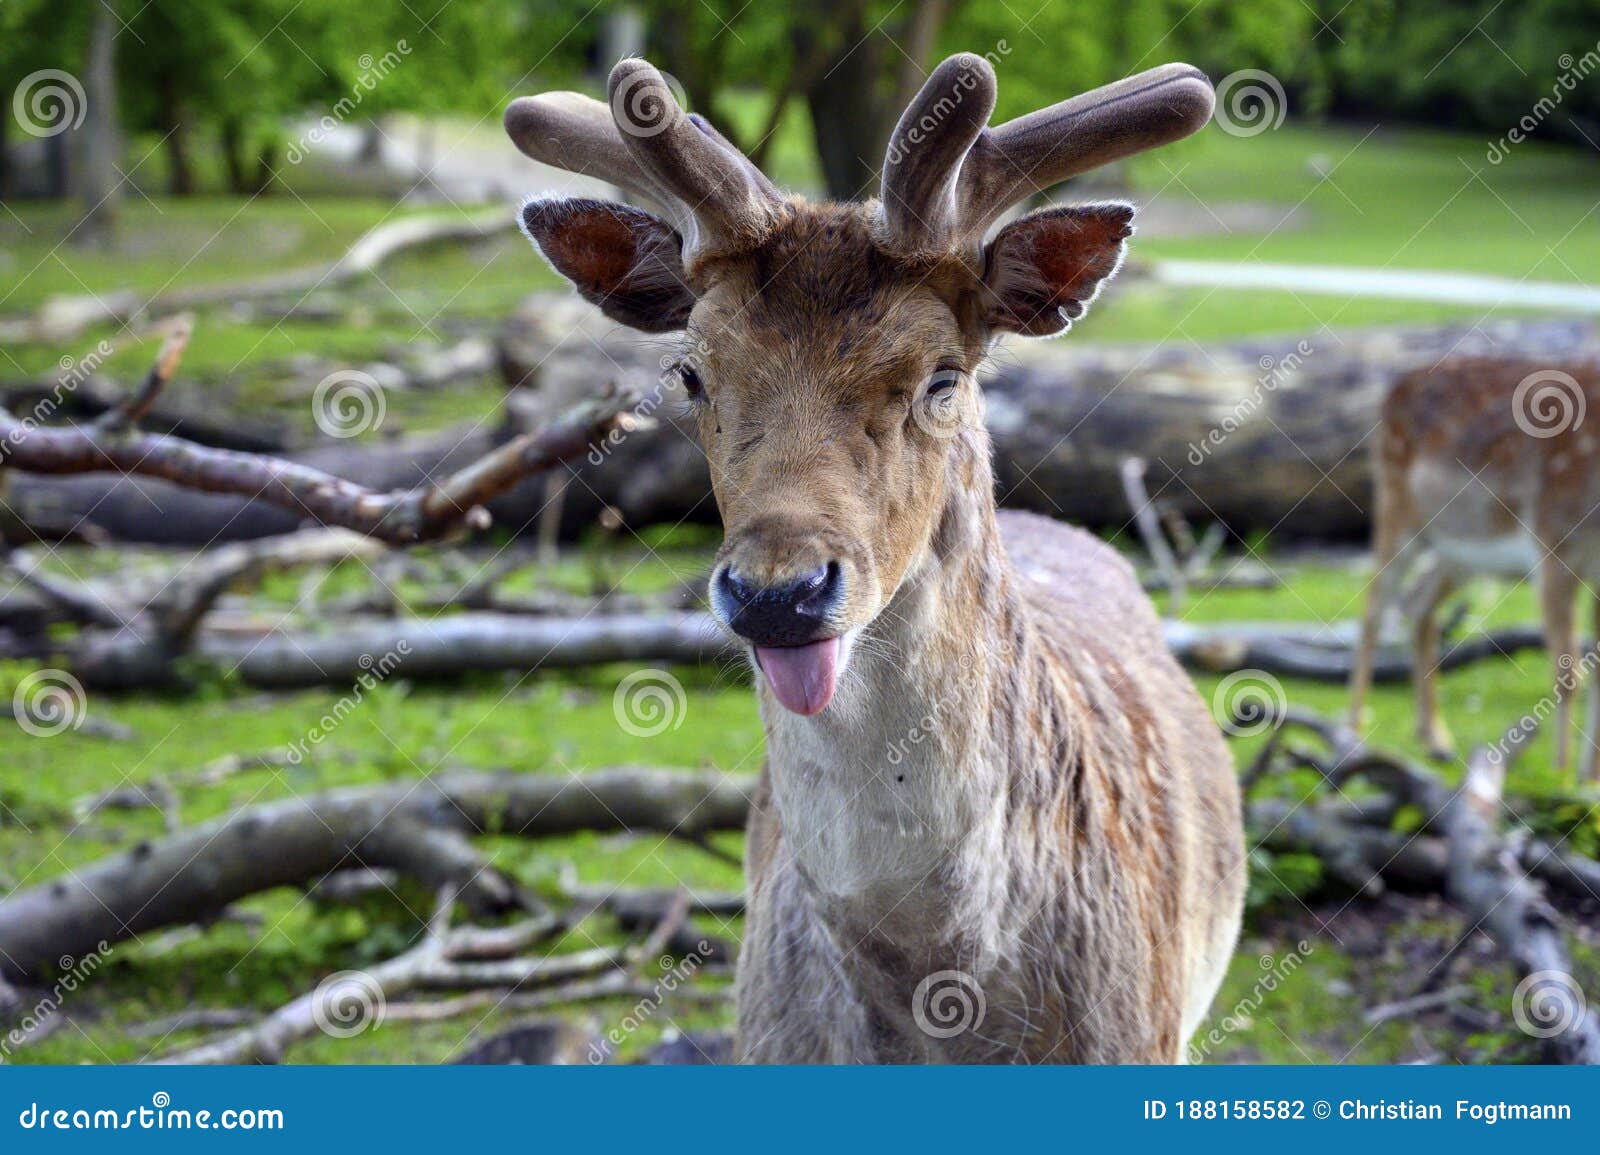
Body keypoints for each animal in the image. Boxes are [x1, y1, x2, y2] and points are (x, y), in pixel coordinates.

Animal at [1348, 358, 1600, 780]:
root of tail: (1395, 387)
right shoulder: (1552, 544)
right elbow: (1567, 675)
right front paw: (1562, 775)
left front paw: (1589, 777)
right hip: (1395, 507)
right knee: (1373, 609)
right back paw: (1353, 728)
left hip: (1458, 551)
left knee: (1417, 601)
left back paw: (1435, 738)